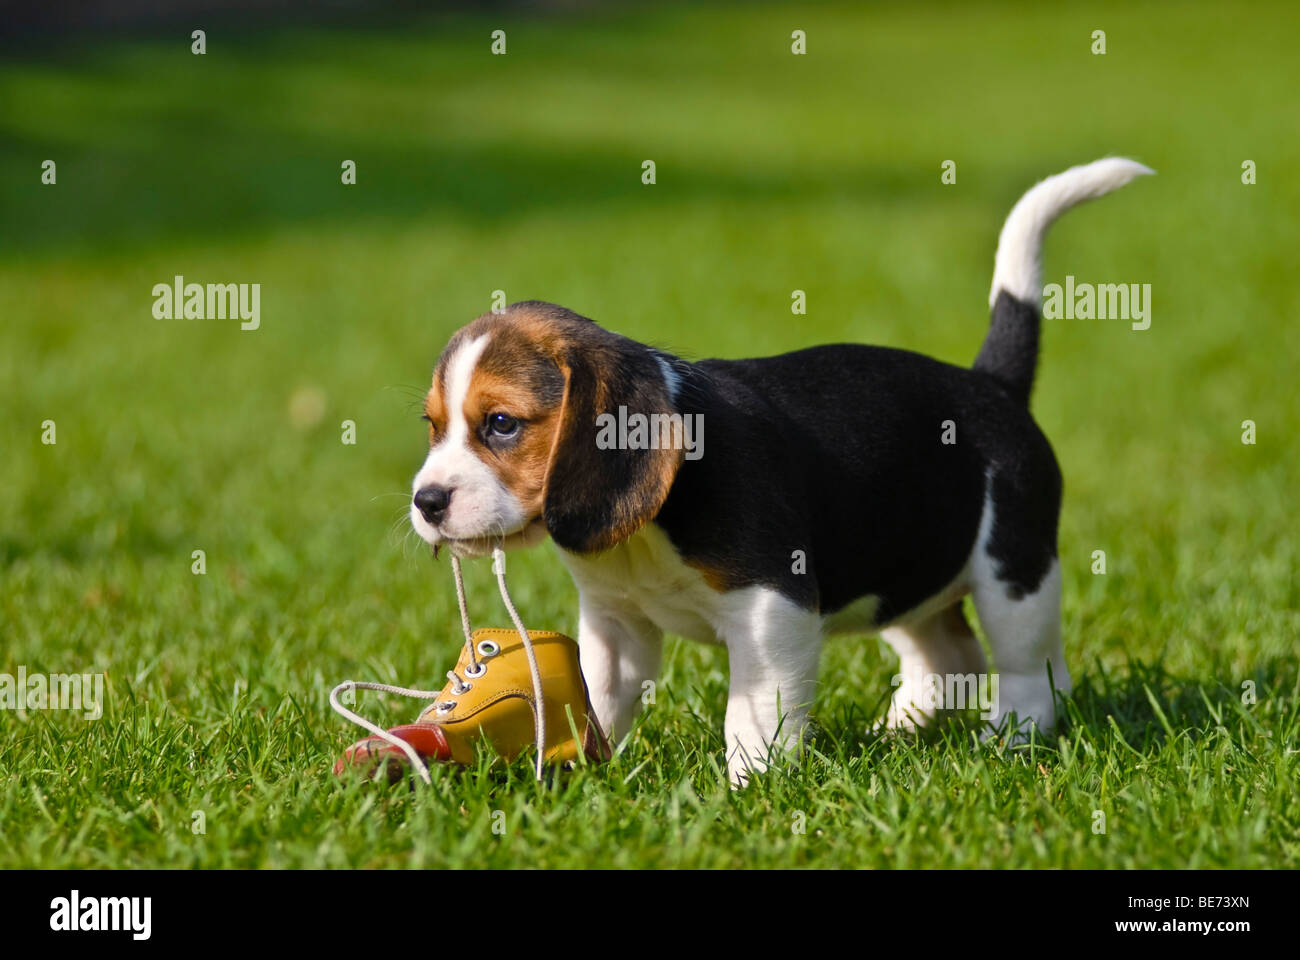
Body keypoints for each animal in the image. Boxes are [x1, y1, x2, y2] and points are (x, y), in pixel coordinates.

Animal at [405, 157, 1149, 780]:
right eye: (433, 426)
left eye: (502, 424)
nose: (426, 502)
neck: (652, 529)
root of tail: (990, 384)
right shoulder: (616, 622)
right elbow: (598, 695)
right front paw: (589, 767)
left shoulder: (771, 613)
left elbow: (753, 714)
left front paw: (748, 787)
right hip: (903, 567)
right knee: (947, 658)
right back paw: (900, 733)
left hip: (1015, 575)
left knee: (1032, 670)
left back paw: (1011, 741)